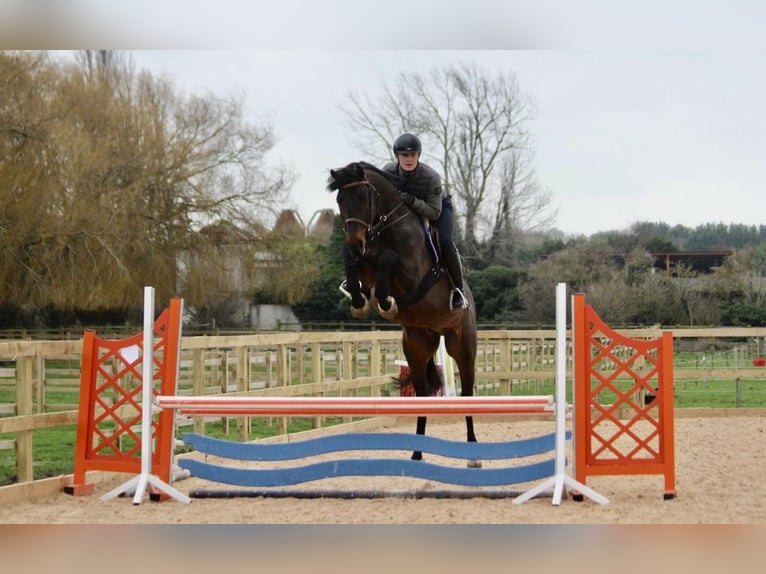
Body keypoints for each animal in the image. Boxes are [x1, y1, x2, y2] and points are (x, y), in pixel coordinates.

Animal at [327, 161, 479, 464]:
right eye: (339, 200)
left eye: (363, 196)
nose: (355, 243)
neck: (385, 226)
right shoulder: (365, 262)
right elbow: (357, 267)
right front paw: (362, 301)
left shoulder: (411, 274)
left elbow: (388, 259)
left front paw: (386, 302)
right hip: (417, 345)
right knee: (422, 394)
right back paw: (417, 453)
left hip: (462, 346)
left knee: (468, 391)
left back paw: (472, 454)